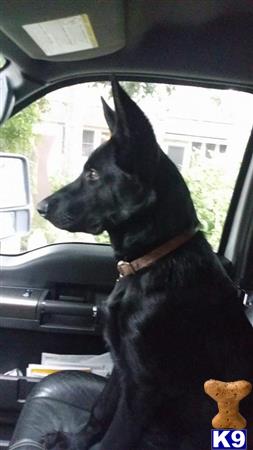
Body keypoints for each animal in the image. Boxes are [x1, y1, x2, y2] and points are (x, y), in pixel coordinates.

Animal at [37, 80, 253, 450]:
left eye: (92, 174)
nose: (40, 207)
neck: (153, 259)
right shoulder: (122, 366)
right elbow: (99, 410)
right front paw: (73, 441)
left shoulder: (143, 387)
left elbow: (115, 437)